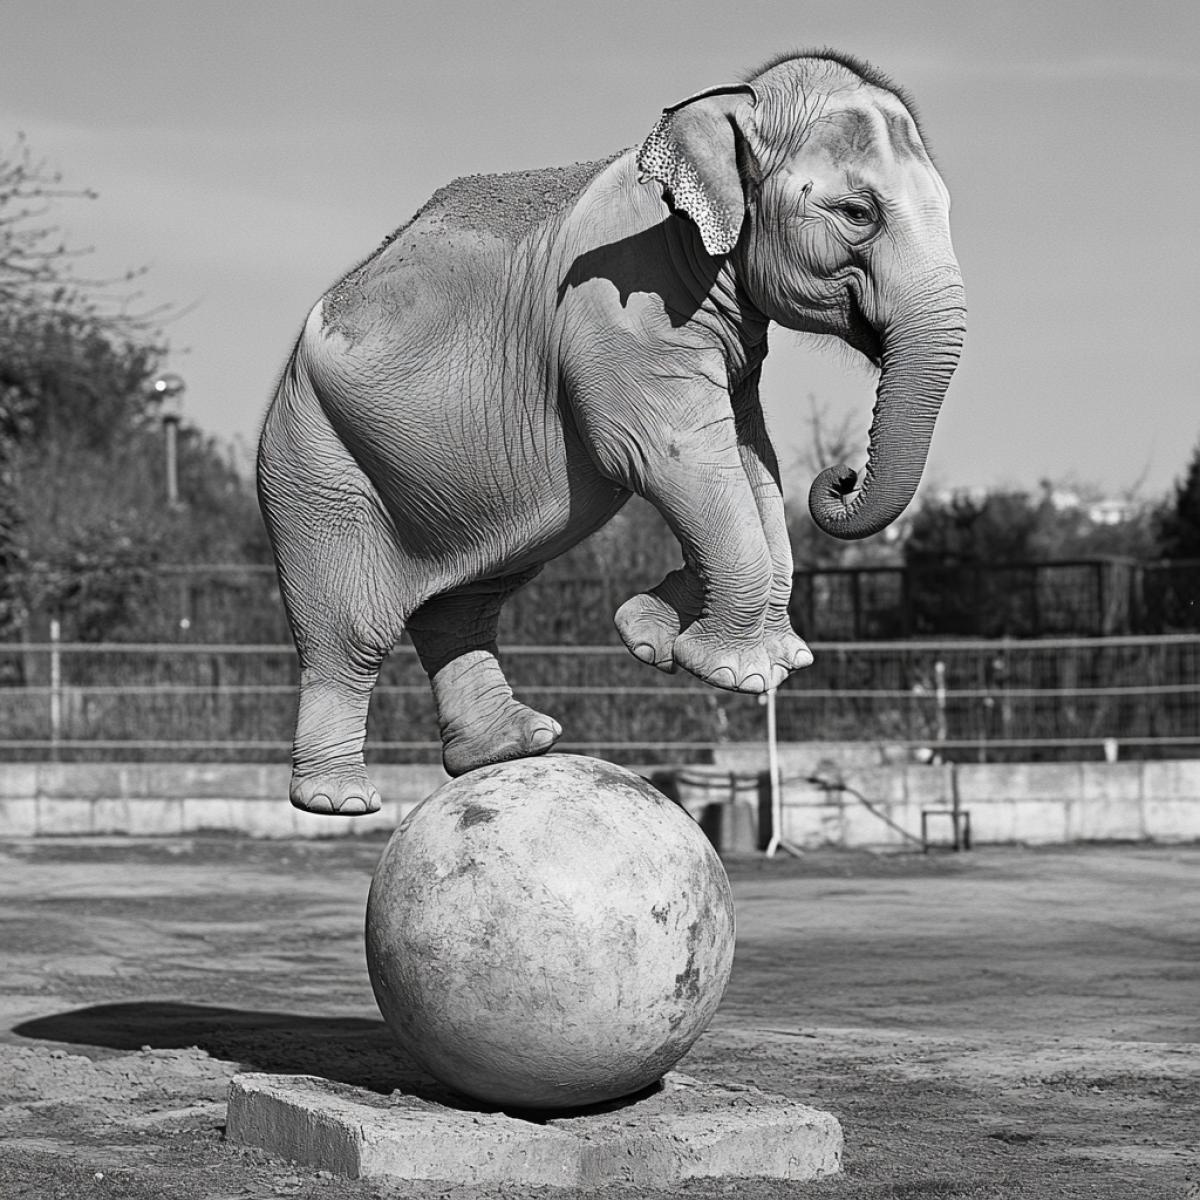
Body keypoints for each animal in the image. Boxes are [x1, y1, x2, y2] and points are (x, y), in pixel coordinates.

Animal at [257, 49, 966, 815]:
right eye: (858, 213)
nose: (839, 477)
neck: (723, 113)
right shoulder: (624, 307)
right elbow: (668, 455)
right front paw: (731, 672)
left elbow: (753, 465)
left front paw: (658, 638)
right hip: (314, 458)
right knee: (349, 630)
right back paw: (340, 801)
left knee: (462, 602)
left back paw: (516, 745)